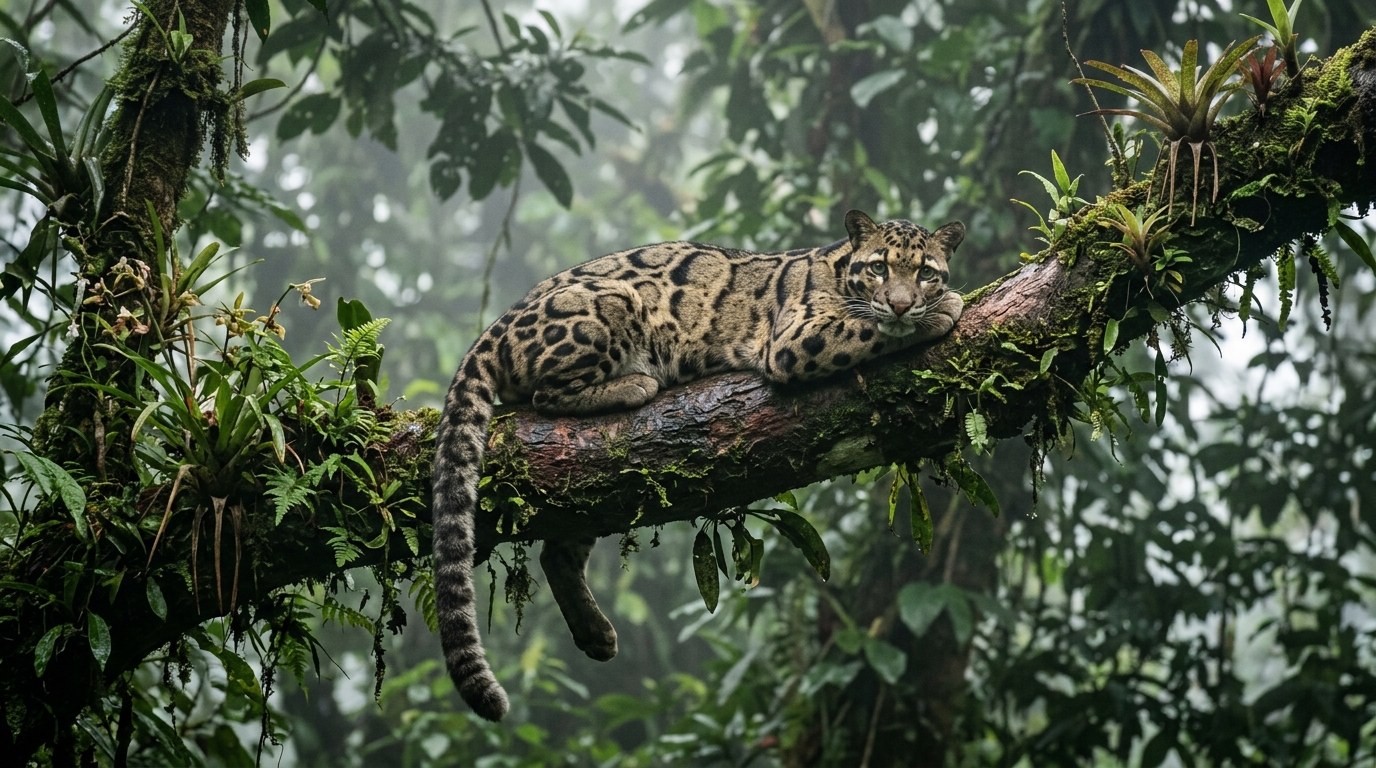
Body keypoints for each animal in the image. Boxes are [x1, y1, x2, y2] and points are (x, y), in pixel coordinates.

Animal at [431, 210, 966, 721]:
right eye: (878, 269)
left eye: (925, 273)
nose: (902, 302)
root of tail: (495, 326)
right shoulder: (796, 339)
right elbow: (872, 328)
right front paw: (941, 311)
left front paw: (934, 305)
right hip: (614, 301)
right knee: (545, 396)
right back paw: (636, 383)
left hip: (596, 494)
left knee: (557, 550)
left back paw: (595, 632)